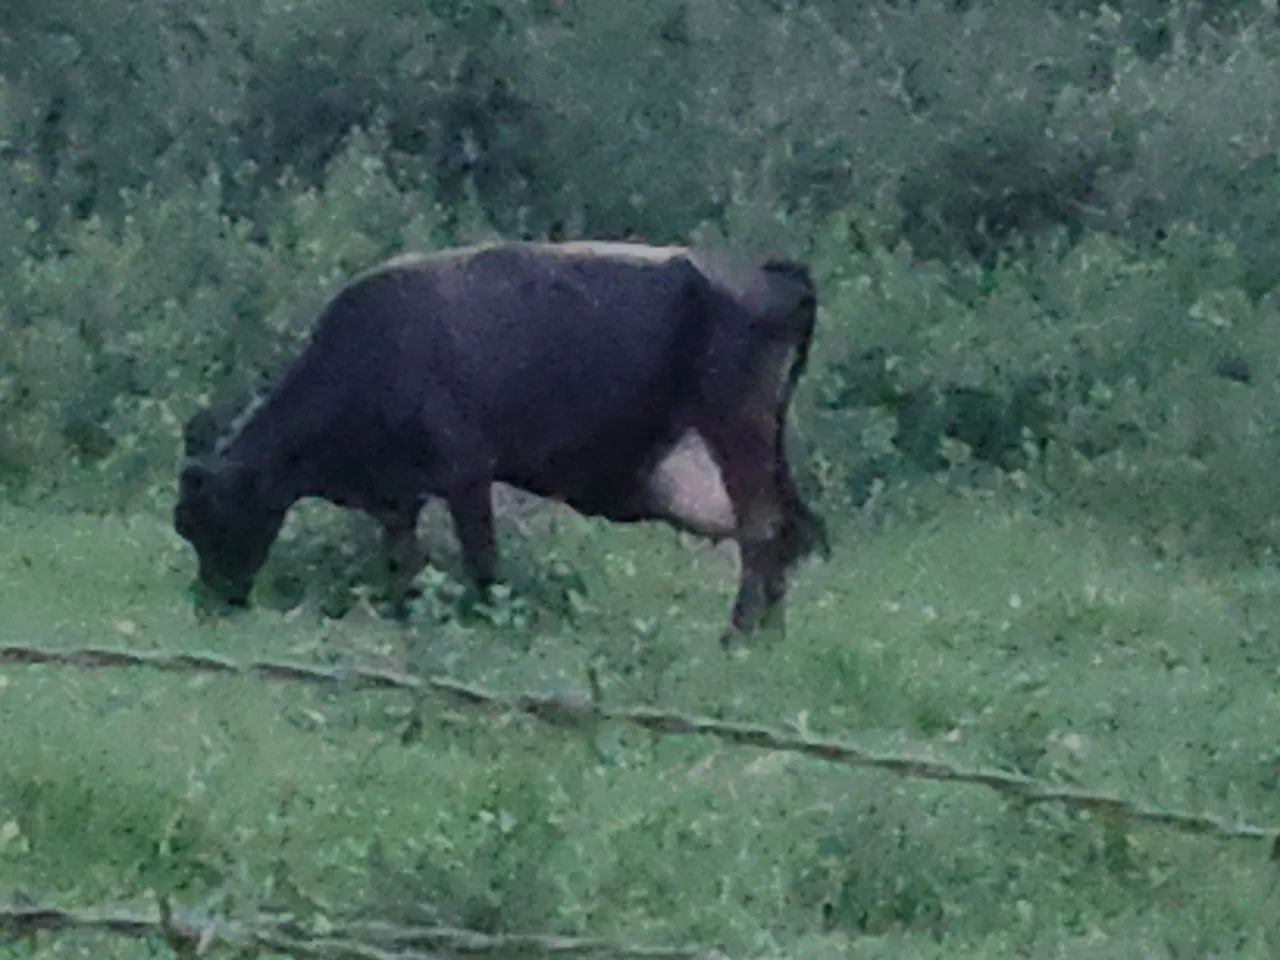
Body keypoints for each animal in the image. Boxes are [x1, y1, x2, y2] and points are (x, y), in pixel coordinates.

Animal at [174, 241, 828, 641]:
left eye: (213, 519)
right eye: (186, 527)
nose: (209, 608)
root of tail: (769, 273)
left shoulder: (464, 471)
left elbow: (482, 563)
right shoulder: (397, 496)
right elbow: (404, 565)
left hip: (734, 430)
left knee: (764, 530)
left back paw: (737, 637)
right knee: (789, 532)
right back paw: (770, 637)